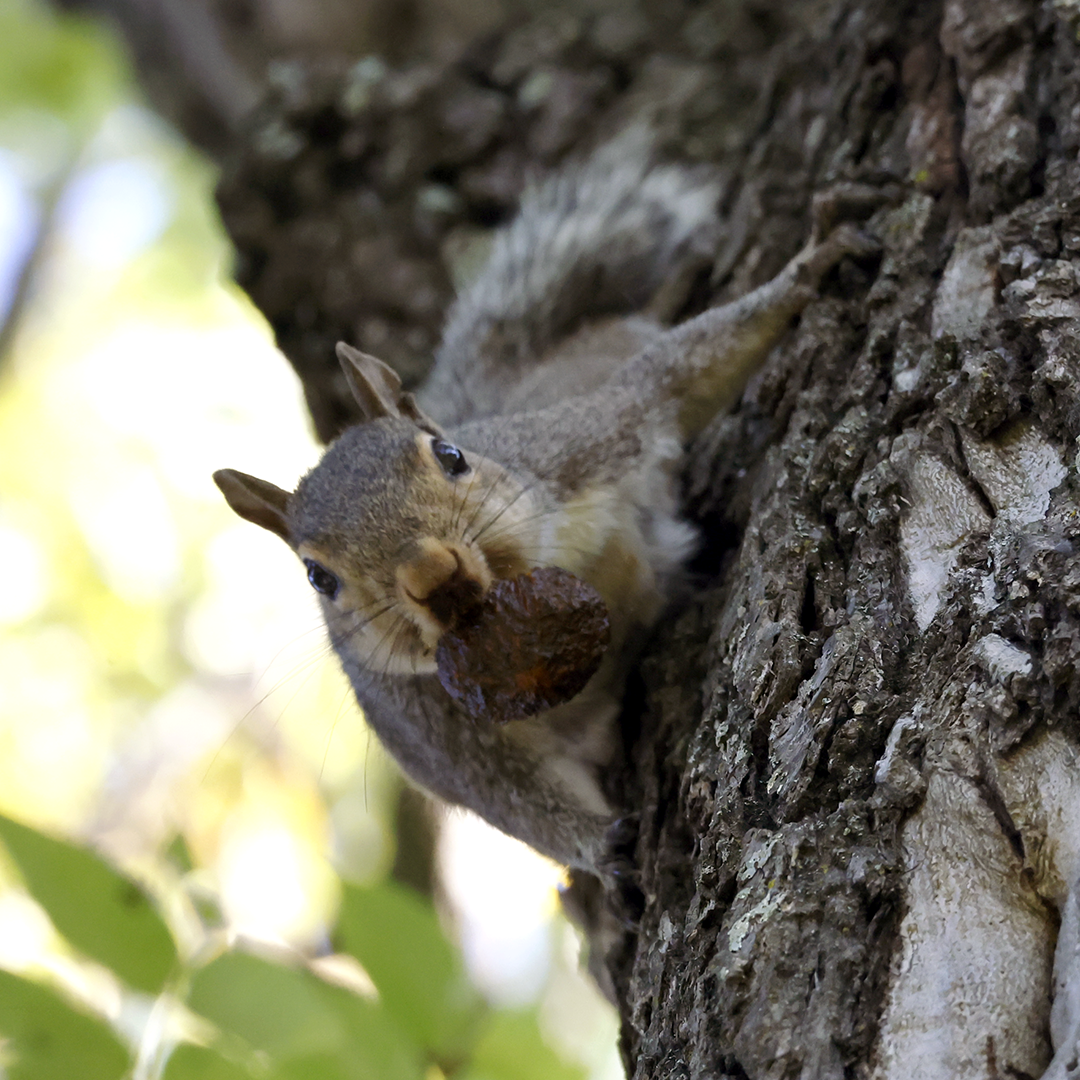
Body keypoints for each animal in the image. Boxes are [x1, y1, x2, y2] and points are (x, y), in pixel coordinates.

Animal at [212, 135, 876, 876]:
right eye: (317, 577)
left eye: (450, 456)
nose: (432, 576)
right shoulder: (427, 729)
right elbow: (516, 801)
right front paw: (601, 843)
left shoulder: (585, 443)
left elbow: (674, 379)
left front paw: (807, 270)